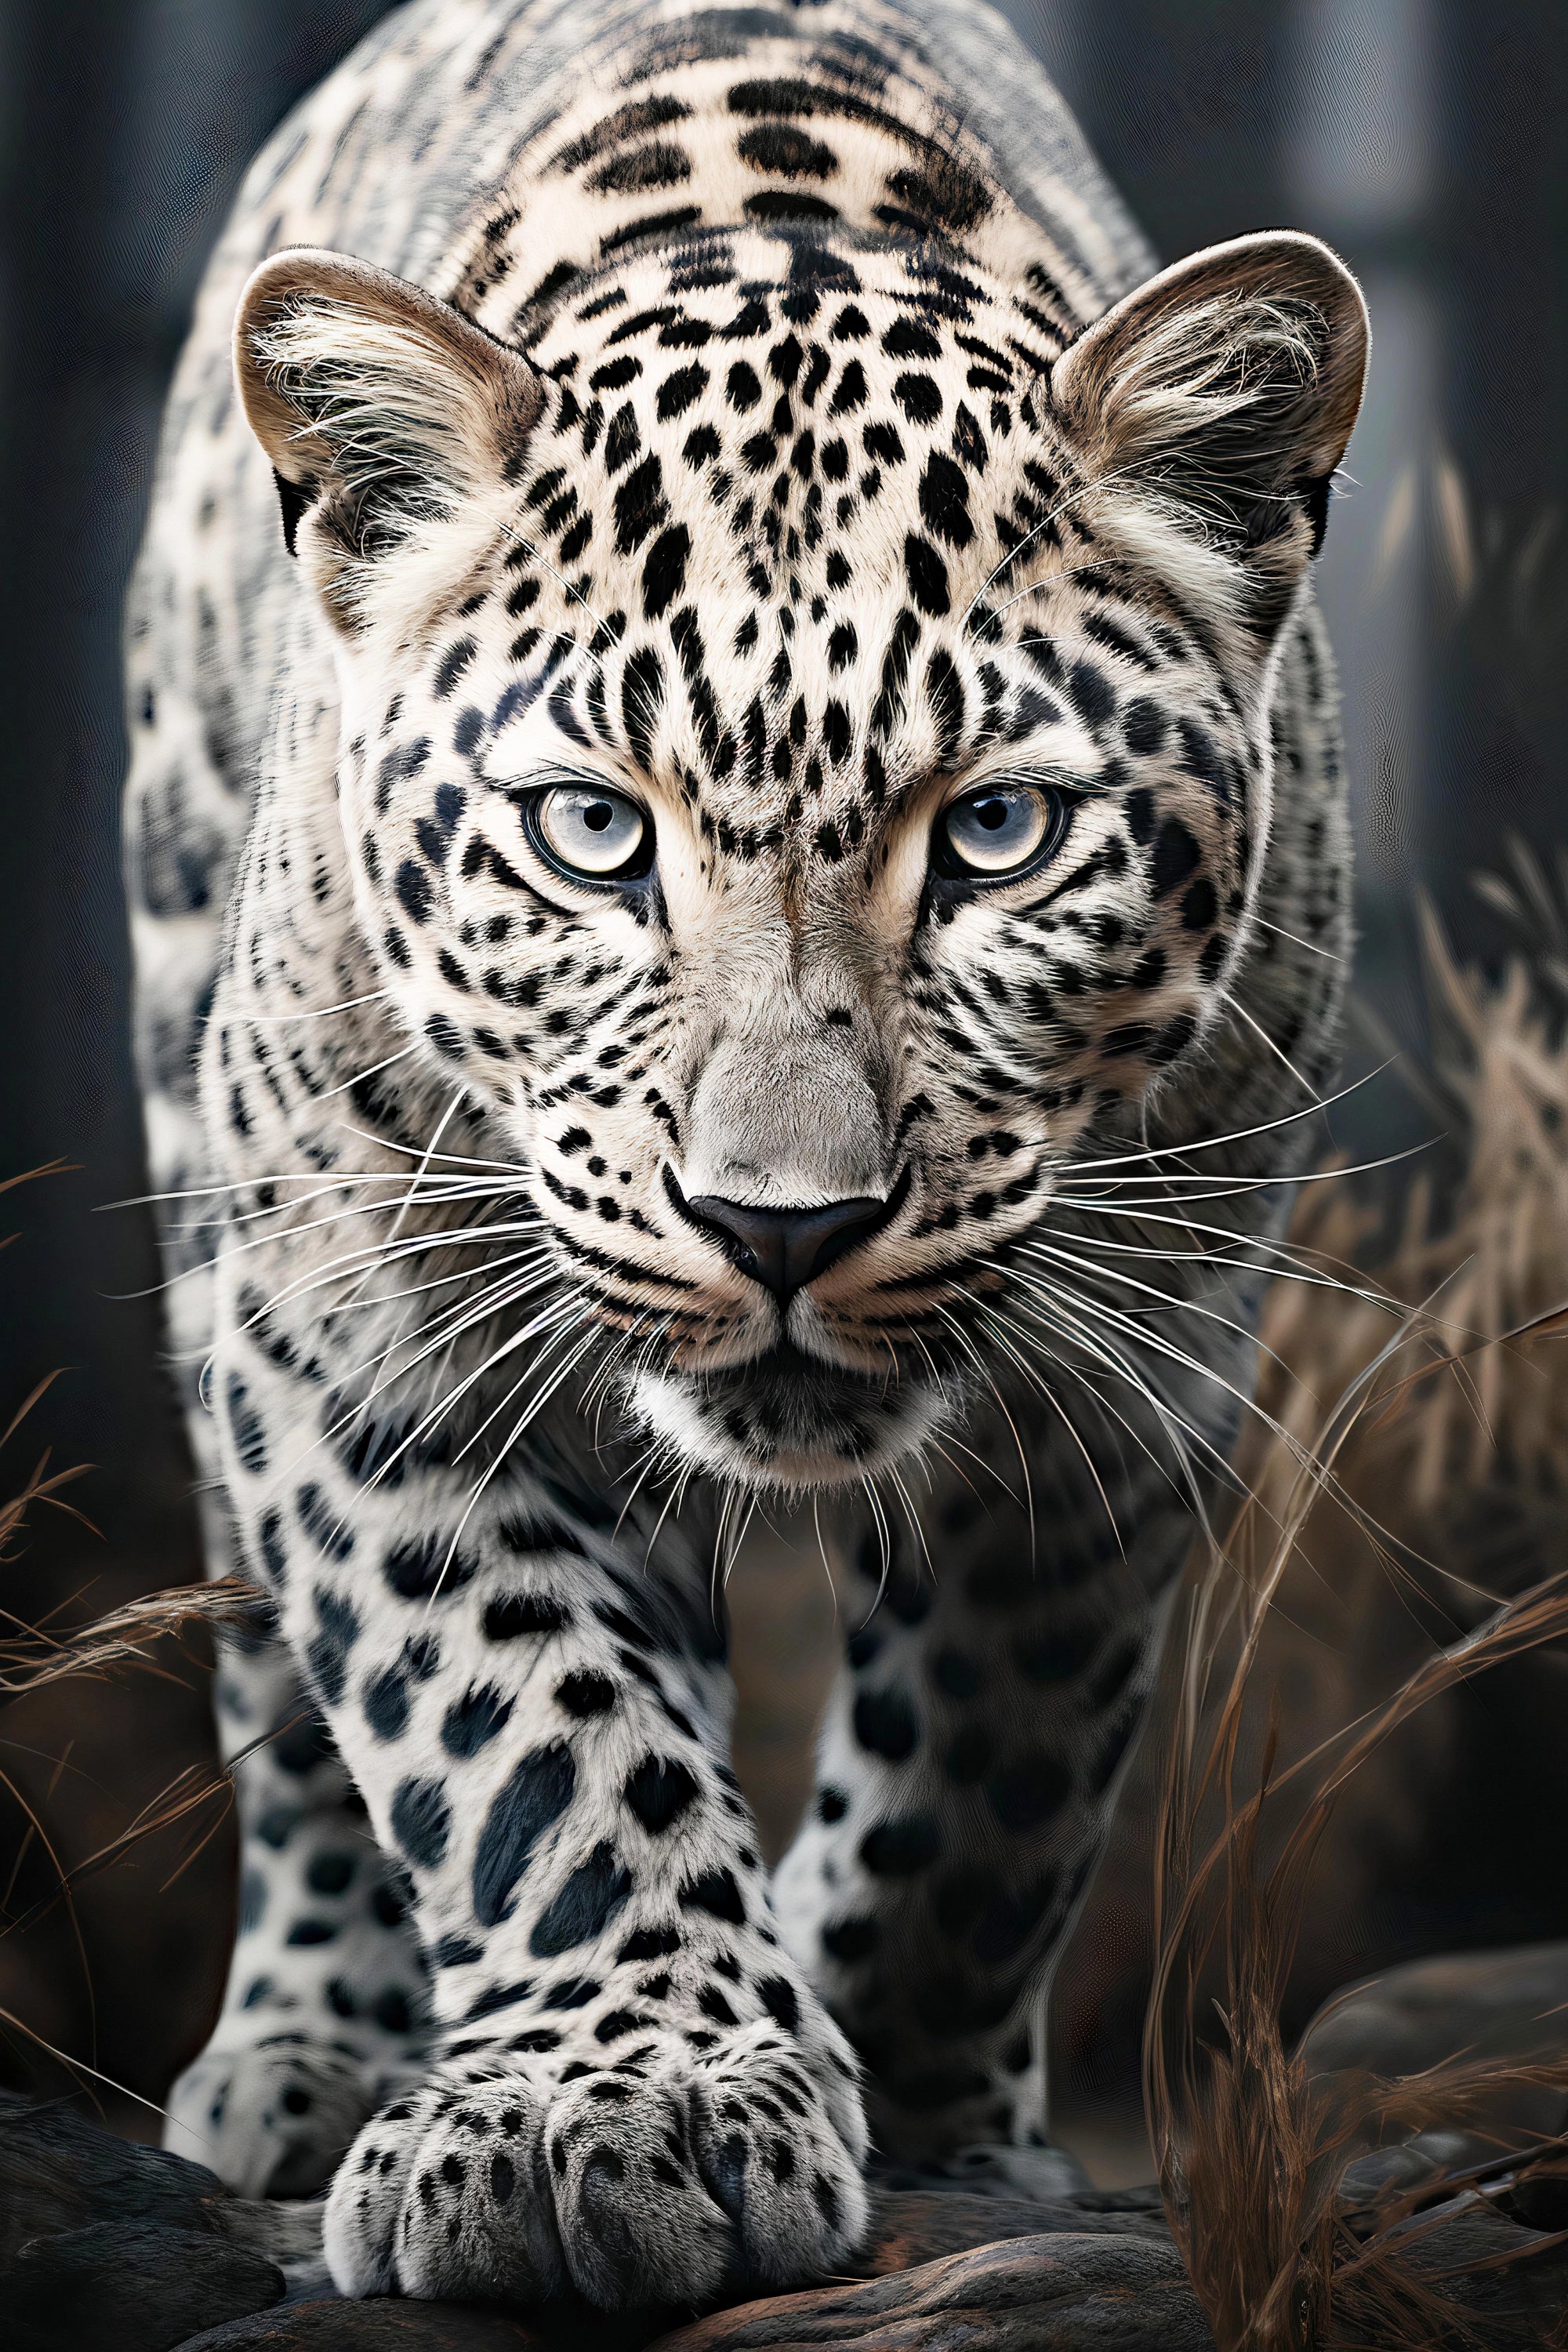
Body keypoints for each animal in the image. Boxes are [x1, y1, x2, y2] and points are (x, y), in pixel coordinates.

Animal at [123, 0, 1366, 2313]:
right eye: (589, 833)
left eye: (999, 833)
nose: (778, 1228)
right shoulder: (352, 1345)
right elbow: (515, 1719)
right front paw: (614, 2108)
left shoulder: (1134, 1384)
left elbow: (987, 1789)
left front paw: (918, 2111)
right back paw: (308, 2049)